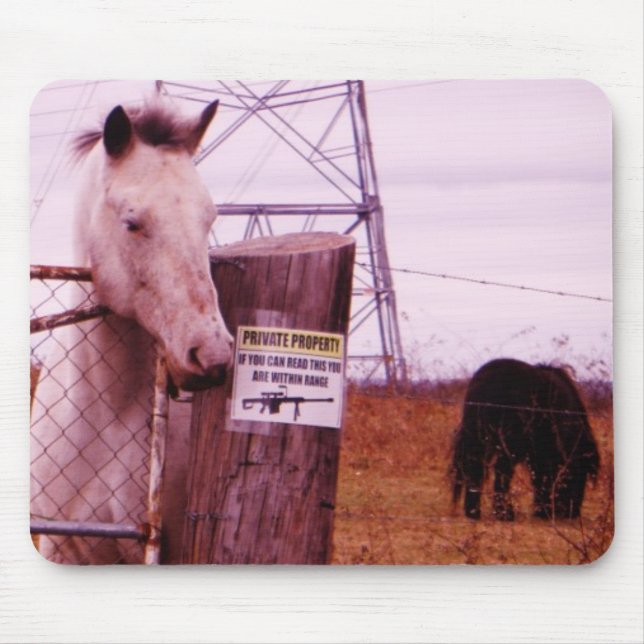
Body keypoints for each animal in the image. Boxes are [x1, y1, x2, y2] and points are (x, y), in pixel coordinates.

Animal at [451, 358, 600, 521]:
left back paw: (473, 511)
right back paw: (505, 513)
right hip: (510, 443)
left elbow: (540, 477)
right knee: (501, 470)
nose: (572, 513)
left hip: (478, 436)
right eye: (580, 475)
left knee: (475, 466)